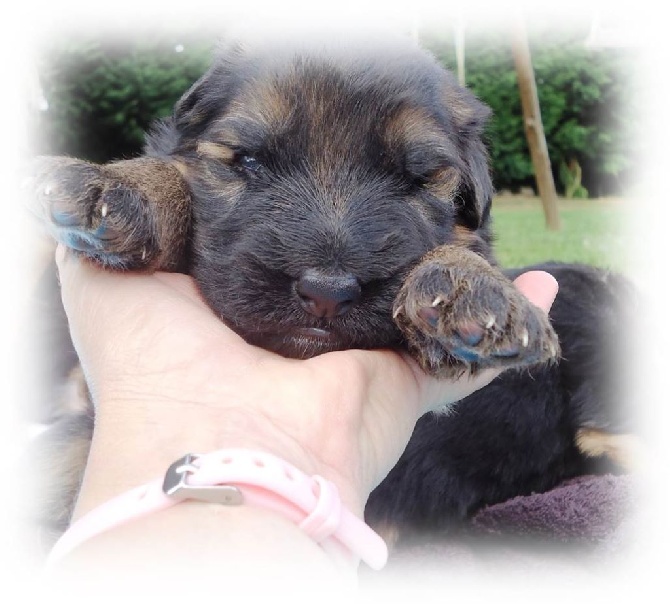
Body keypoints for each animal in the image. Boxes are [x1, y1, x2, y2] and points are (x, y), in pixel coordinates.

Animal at [25, 31, 636, 552]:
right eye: (249, 160)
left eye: (416, 179)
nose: (326, 292)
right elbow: (172, 171)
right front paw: (119, 188)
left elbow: (464, 249)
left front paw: (473, 292)